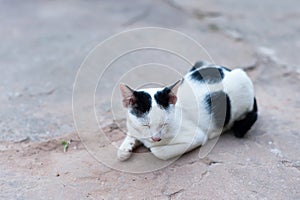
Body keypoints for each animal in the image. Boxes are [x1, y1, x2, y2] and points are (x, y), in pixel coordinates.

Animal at [117, 61, 258, 161]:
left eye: (164, 124)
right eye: (145, 125)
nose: (156, 138)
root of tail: (229, 70)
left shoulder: (197, 136)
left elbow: (158, 152)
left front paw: (148, 146)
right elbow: (131, 133)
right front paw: (125, 148)